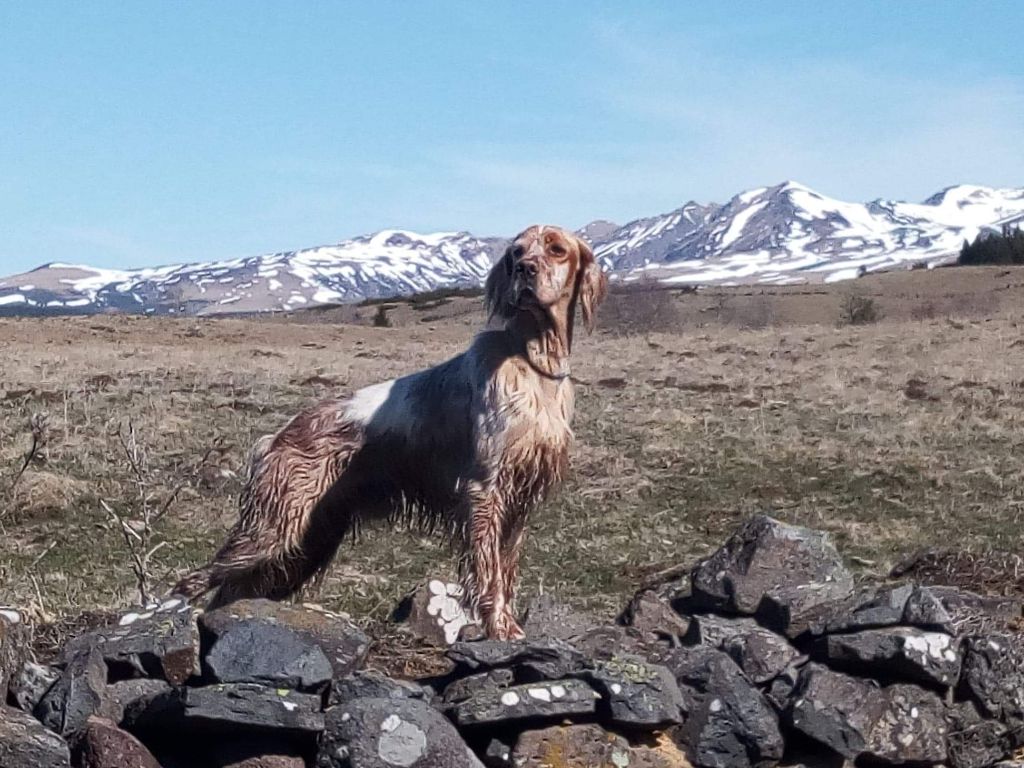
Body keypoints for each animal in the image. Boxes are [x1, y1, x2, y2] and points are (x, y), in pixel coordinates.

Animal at [174, 225, 606, 638]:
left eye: (556, 249)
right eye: (517, 252)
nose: (524, 270)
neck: (532, 360)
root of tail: (276, 437)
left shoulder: (520, 503)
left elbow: (506, 571)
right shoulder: (486, 490)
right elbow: (489, 575)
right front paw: (499, 629)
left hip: (306, 543)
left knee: (232, 590)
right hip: (274, 530)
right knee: (197, 580)